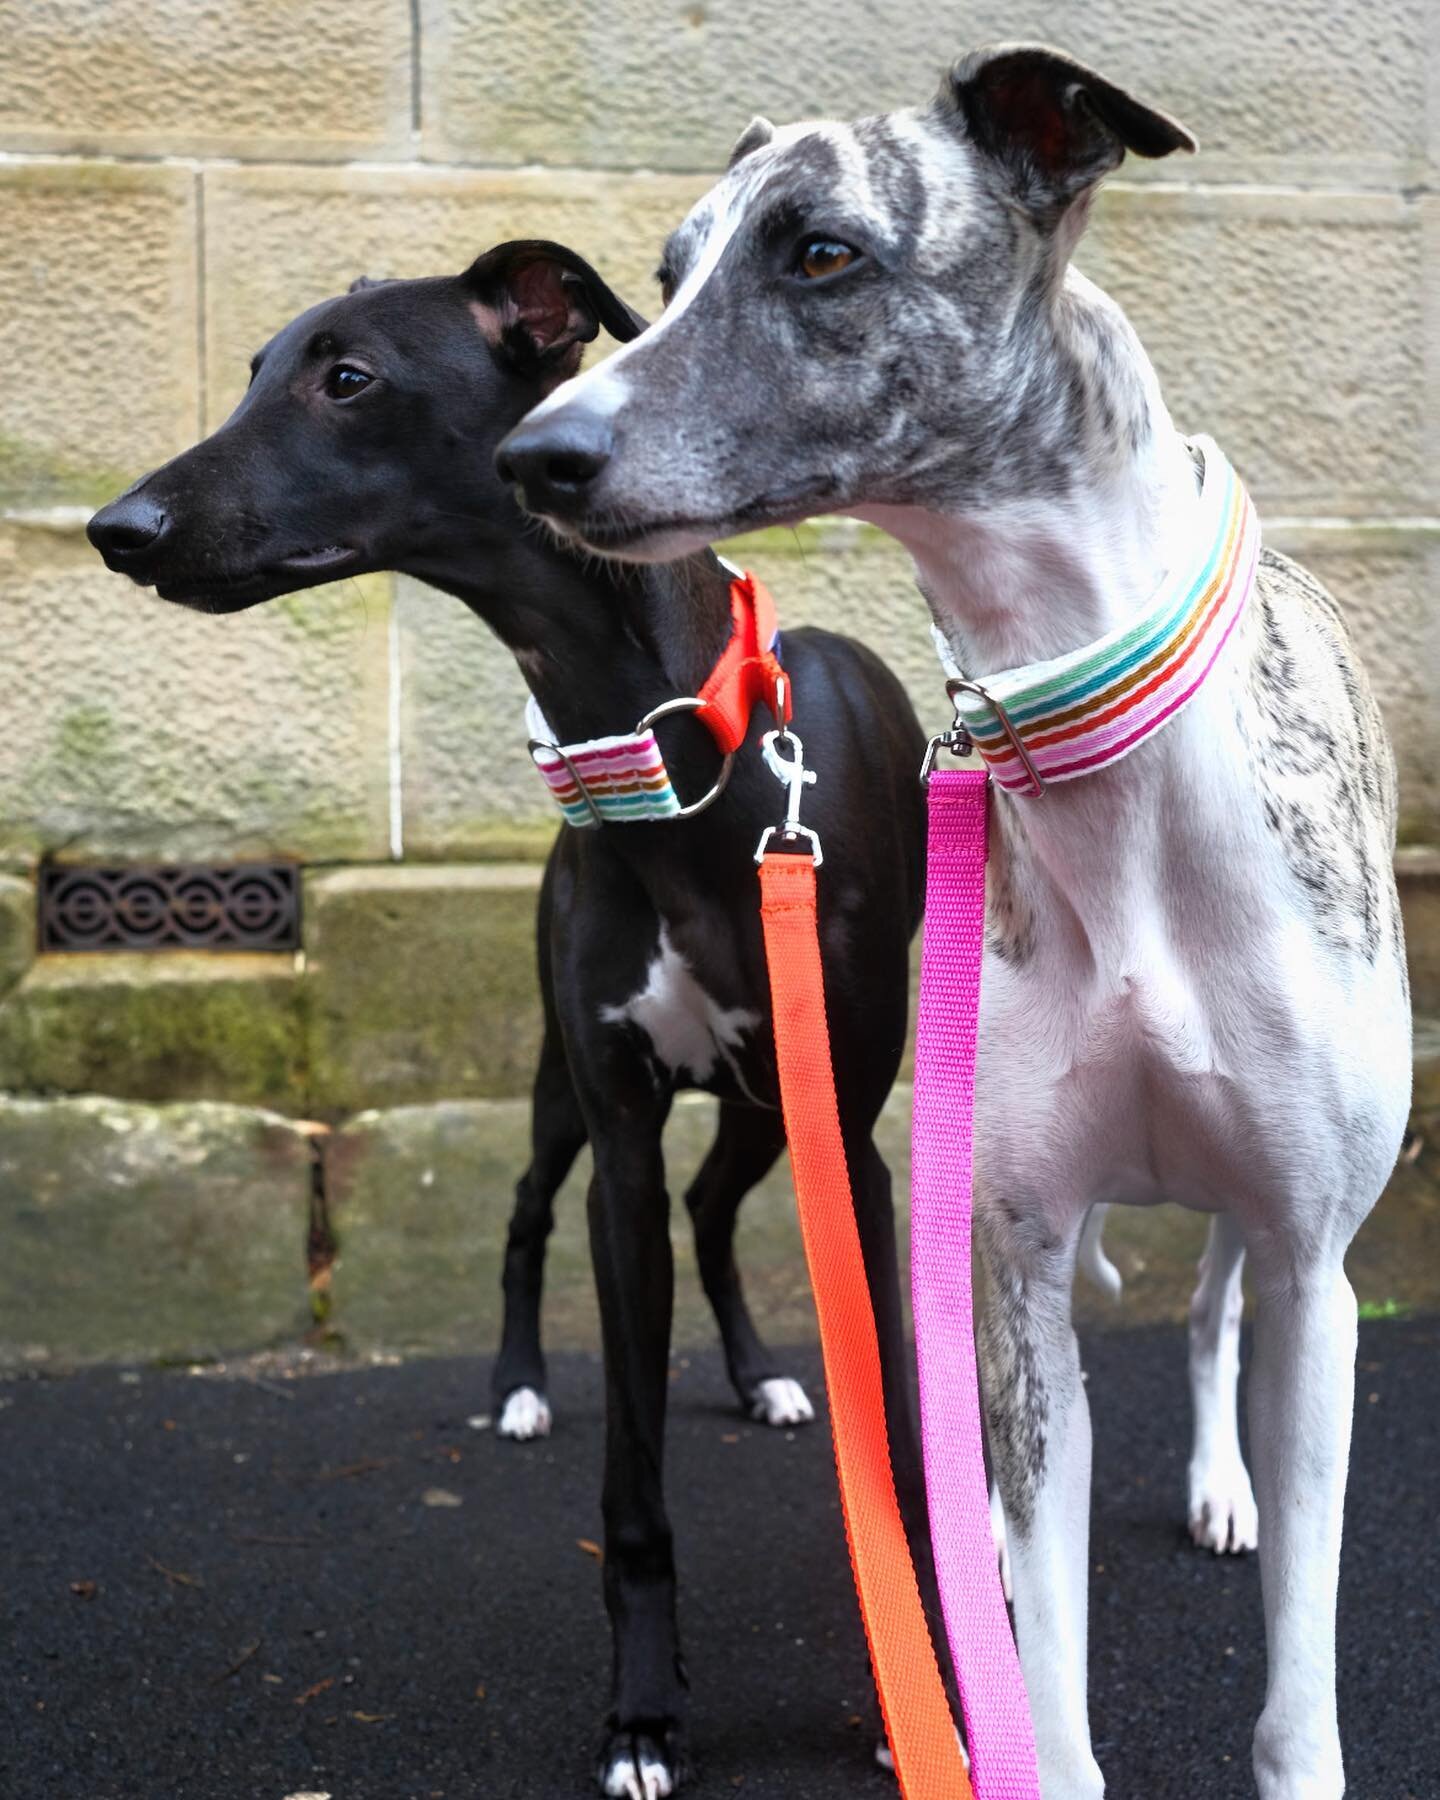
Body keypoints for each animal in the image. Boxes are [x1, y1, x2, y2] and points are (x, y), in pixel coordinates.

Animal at [84, 243, 936, 1800]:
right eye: (257, 365)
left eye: (347, 376)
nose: (120, 527)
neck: (684, 763)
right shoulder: (617, 1134)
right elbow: (633, 1481)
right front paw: (645, 1717)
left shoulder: (848, 1137)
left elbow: (892, 1425)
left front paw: (925, 1678)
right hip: (562, 1096)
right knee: (534, 1211)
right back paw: (524, 1387)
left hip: (770, 1107)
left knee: (718, 1211)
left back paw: (759, 1377)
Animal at [496, 45, 1418, 1800]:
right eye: (665, 270)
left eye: (822, 252)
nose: (534, 458)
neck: (1098, 757)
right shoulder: (1012, 1279)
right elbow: (1034, 1688)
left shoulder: (1312, 1266)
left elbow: (1297, 1696)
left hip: (1273, 1238)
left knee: (1216, 1317)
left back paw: (1219, 1484)